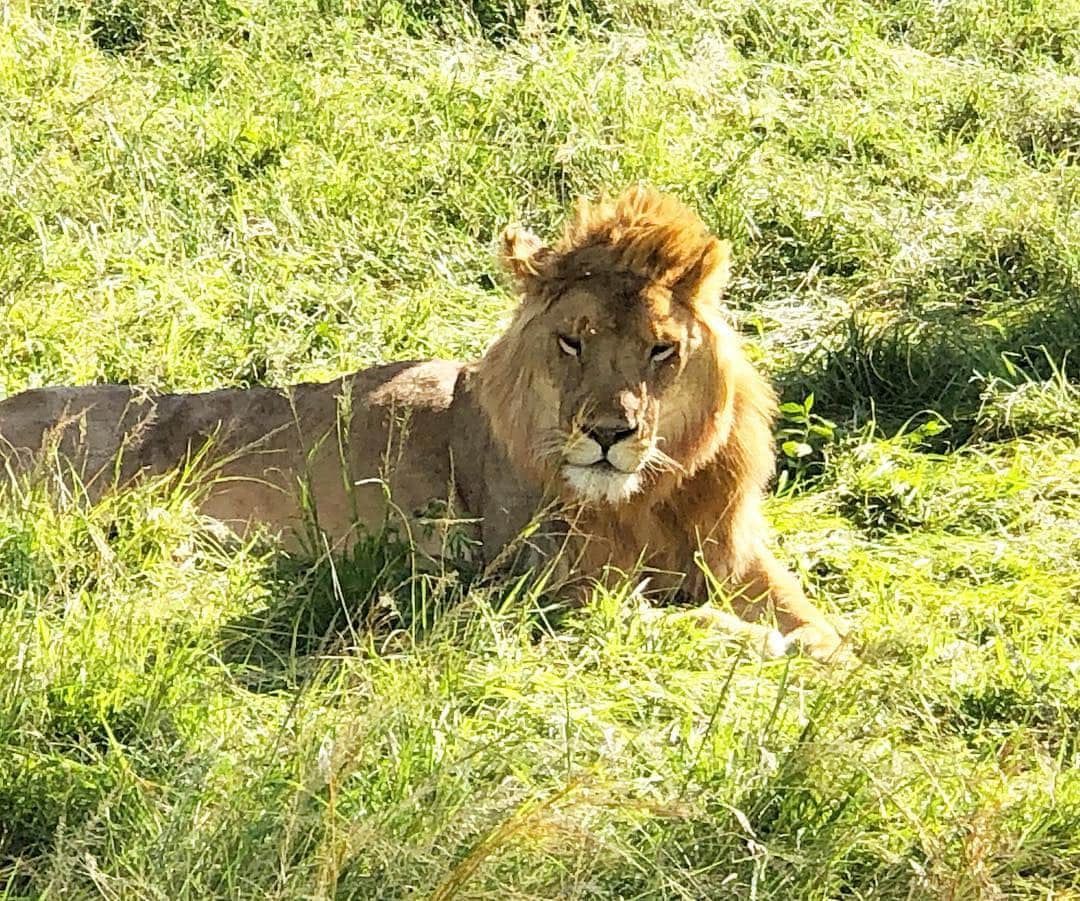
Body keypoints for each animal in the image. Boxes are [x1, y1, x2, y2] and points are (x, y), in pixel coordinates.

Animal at [0, 185, 842, 656]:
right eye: (572, 341)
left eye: (661, 349)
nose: (609, 434)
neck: (647, 499)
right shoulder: (542, 588)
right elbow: (682, 623)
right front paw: (769, 649)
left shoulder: (735, 554)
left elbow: (825, 628)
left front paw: (824, 651)